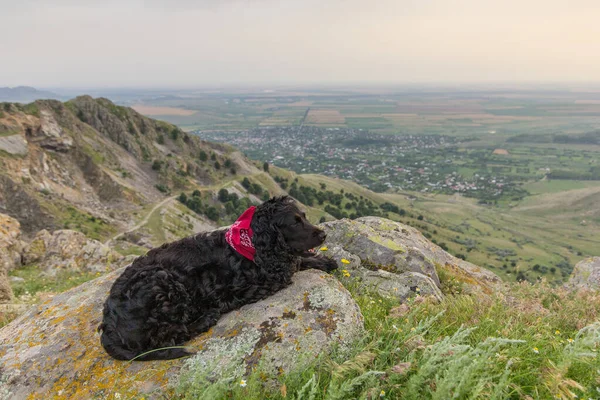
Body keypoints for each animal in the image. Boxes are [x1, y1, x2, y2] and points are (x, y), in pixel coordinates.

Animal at [96, 195, 336, 360]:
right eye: (294, 222)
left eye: (304, 216)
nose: (324, 234)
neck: (251, 243)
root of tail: (108, 322)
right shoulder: (257, 282)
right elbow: (291, 265)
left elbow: (299, 259)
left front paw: (325, 261)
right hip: (163, 284)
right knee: (170, 336)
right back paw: (206, 318)